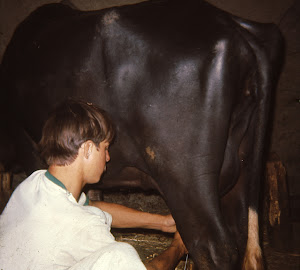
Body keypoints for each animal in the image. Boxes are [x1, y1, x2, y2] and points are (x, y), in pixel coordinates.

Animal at [0, 0, 282, 268]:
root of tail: (235, 26)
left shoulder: (29, 147)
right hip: (243, 170)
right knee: (248, 246)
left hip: (186, 176)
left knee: (214, 249)